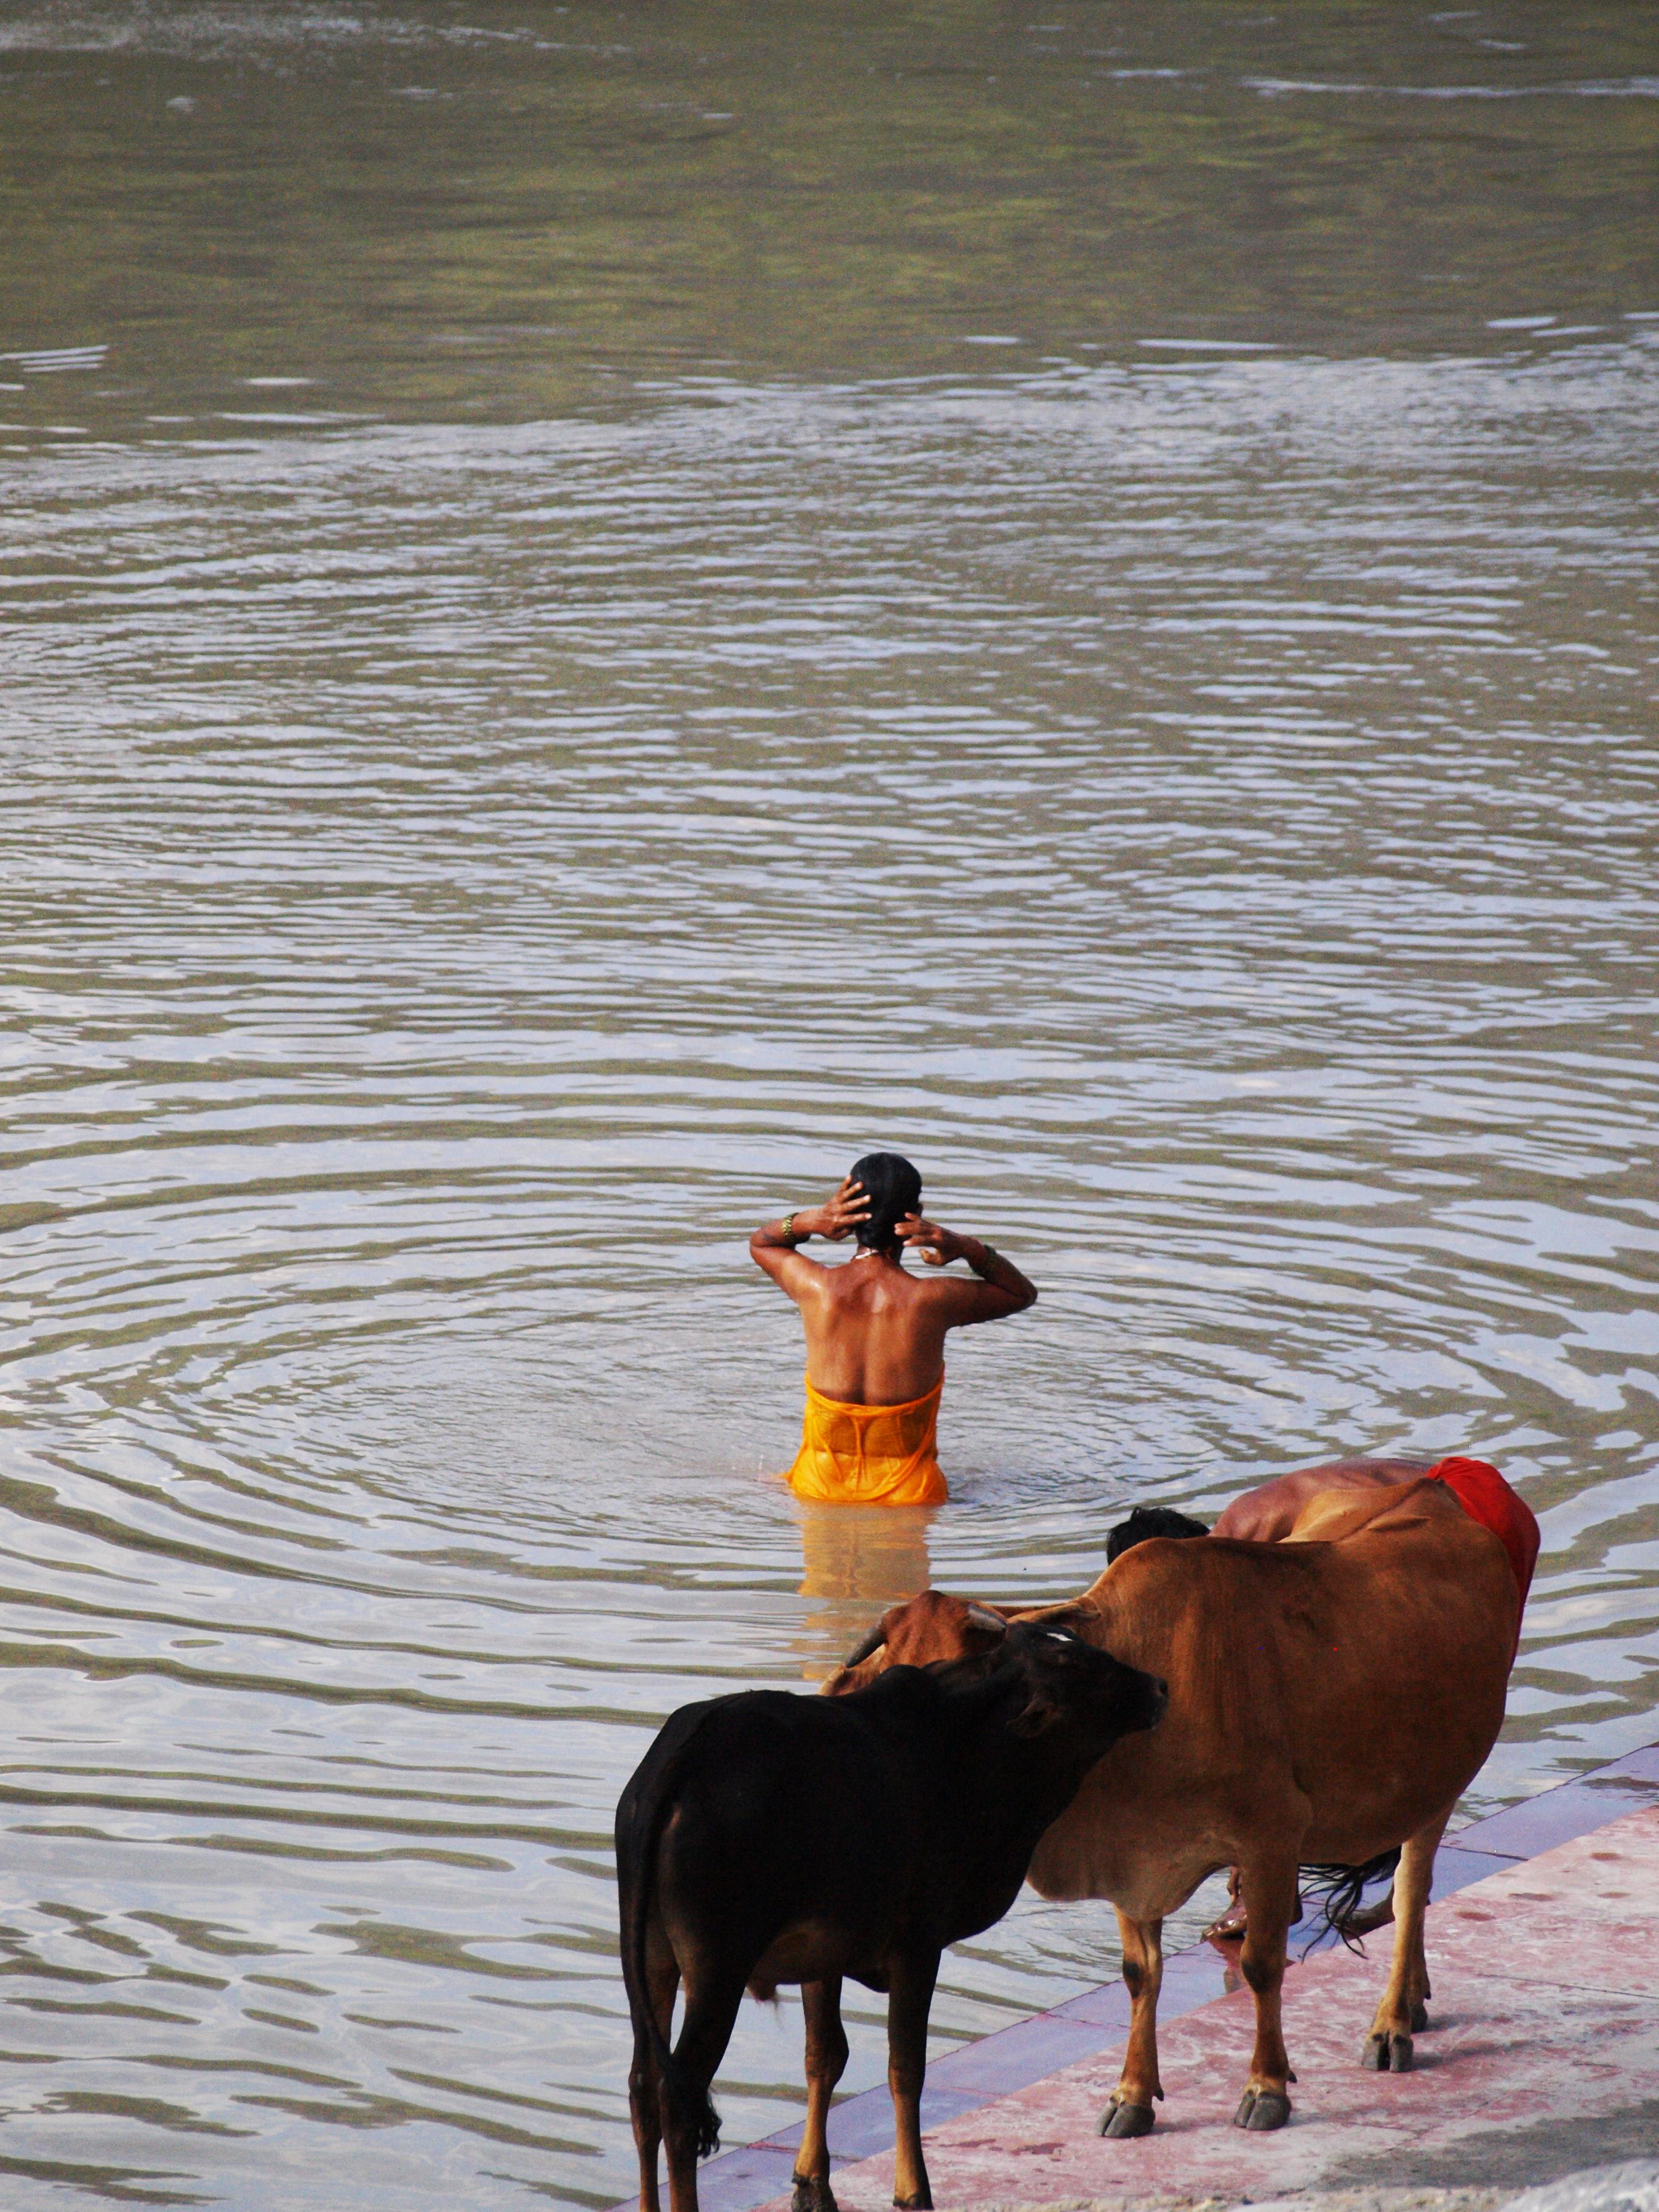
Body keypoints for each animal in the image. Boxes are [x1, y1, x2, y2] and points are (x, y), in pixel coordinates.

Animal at [615, 1619, 1168, 2212]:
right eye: (1083, 1669)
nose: (1158, 1686)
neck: (968, 1747)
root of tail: (686, 1749)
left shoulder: (823, 1953)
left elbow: (824, 2056)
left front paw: (814, 2184)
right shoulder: (917, 1945)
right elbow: (906, 2069)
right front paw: (914, 2190)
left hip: (650, 1962)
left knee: (644, 2090)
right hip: (717, 1970)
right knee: (679, 2100)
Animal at [827, 1477, 1530, 2132]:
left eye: (959, 1686)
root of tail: (1433, 1487)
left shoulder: (1273, 1836)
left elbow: (1261, 1965)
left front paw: (1266, 2088)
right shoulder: (1131, 1859)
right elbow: (1141, 1975)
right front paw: (1132, 2097)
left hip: (1437, 1782)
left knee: (1411, 1893)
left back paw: (1391, 2024)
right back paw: (1413, 2003)